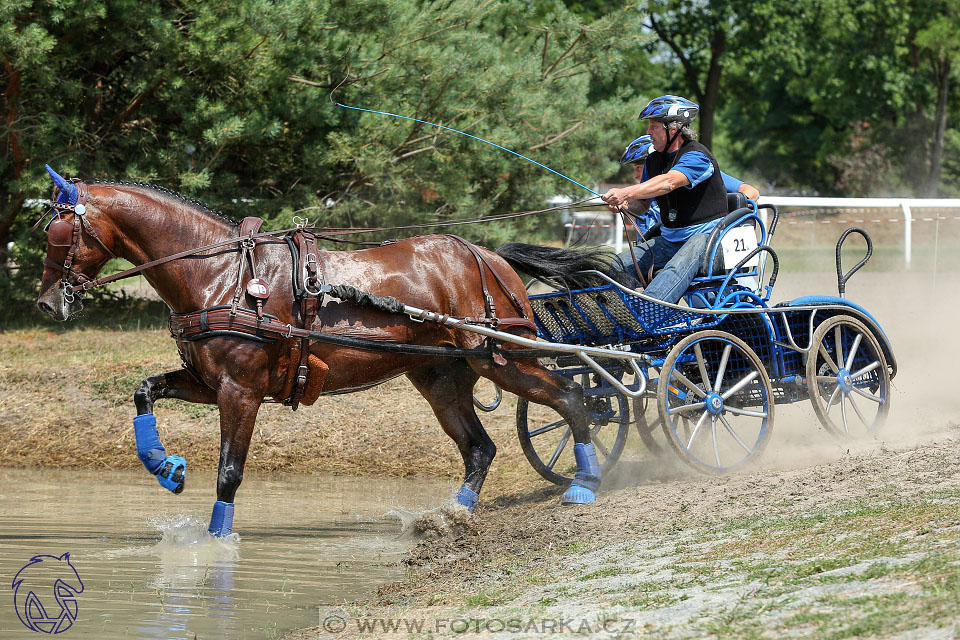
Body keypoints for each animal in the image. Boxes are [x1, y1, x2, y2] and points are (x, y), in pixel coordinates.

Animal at [37, 168, 600, 536]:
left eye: (59, 233)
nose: (47, 303)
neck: (222, 276)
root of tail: (488, 256)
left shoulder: (240, 392)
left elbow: (229, 472)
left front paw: (218, 540)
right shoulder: (208, 383)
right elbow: (144, 390)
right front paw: (165, 466)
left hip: (502, 357)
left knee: (572, 397)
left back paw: (586, 482)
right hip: (440, 377)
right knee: (480, 447)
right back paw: (453, 515)